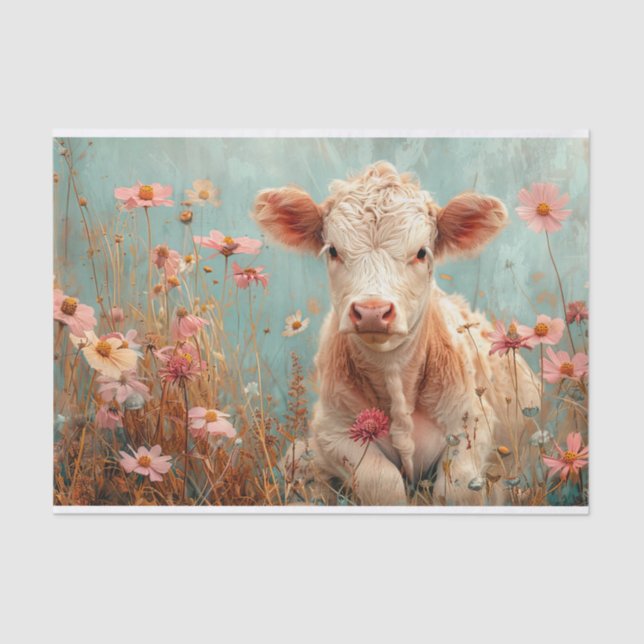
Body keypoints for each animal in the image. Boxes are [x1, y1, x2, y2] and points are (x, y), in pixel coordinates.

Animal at [253, 161, 538, 505]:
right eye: (333, 250)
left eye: (421, 252)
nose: (372, 311)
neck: (393, 373)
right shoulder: (332, 433)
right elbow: (382, 482)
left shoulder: (473, 423)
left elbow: (457, 488)